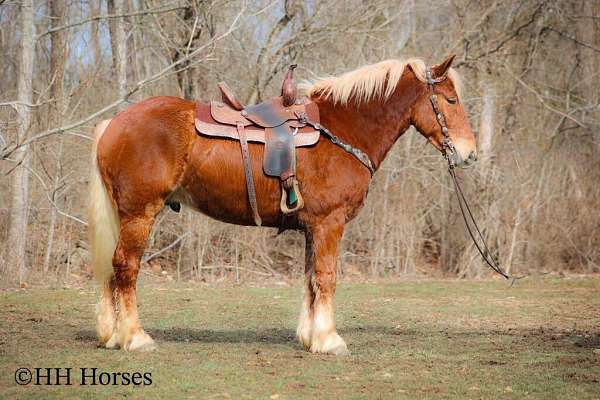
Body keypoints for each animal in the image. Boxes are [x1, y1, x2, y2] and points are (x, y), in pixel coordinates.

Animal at [88, 54, 478, 354]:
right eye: (451, 100)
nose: (469, 154)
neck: (342, 130)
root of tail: (114, 123)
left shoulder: (312, 227)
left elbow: (310, 280)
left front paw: (310, 336)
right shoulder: (329, 223)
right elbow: (326, 277)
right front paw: (329, 340)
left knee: (112, 268)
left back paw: (113, 335)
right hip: (139, 215)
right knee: (126, 267)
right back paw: (135, 337)